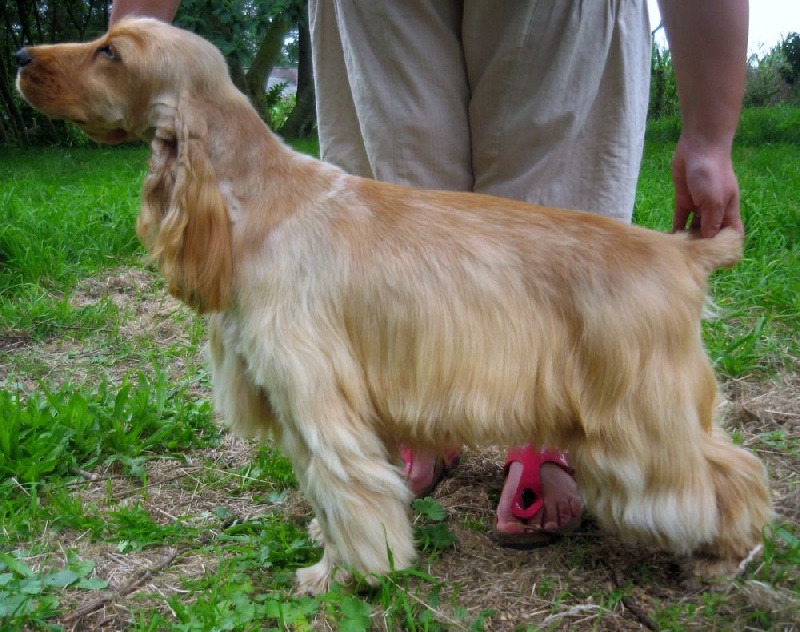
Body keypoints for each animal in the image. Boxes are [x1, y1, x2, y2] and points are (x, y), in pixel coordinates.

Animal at [16, 18, 773, 595]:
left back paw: (722, 558)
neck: (252, 197)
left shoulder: (315, 391)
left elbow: (344, 491)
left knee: (729, 475)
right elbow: (325, 492)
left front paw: (336, 575)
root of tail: (680, 253)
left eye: (111, 52)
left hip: (639, 418)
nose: (22, 58)